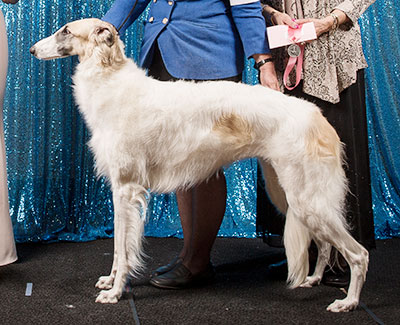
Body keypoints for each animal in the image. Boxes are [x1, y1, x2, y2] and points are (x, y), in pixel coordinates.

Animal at [30, 18, 368, 312]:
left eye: (66, 30)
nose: (32, 50)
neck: (111, 81)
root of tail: (317, 117)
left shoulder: (127, 188)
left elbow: (124, 250)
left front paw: (115, 292)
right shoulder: (119, 189)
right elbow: (117, 248)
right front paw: (110, 281)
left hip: (305, 198)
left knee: (358, 254)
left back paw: (348, 302)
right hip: (290, 195)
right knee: (324, 244)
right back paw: (314, 279)